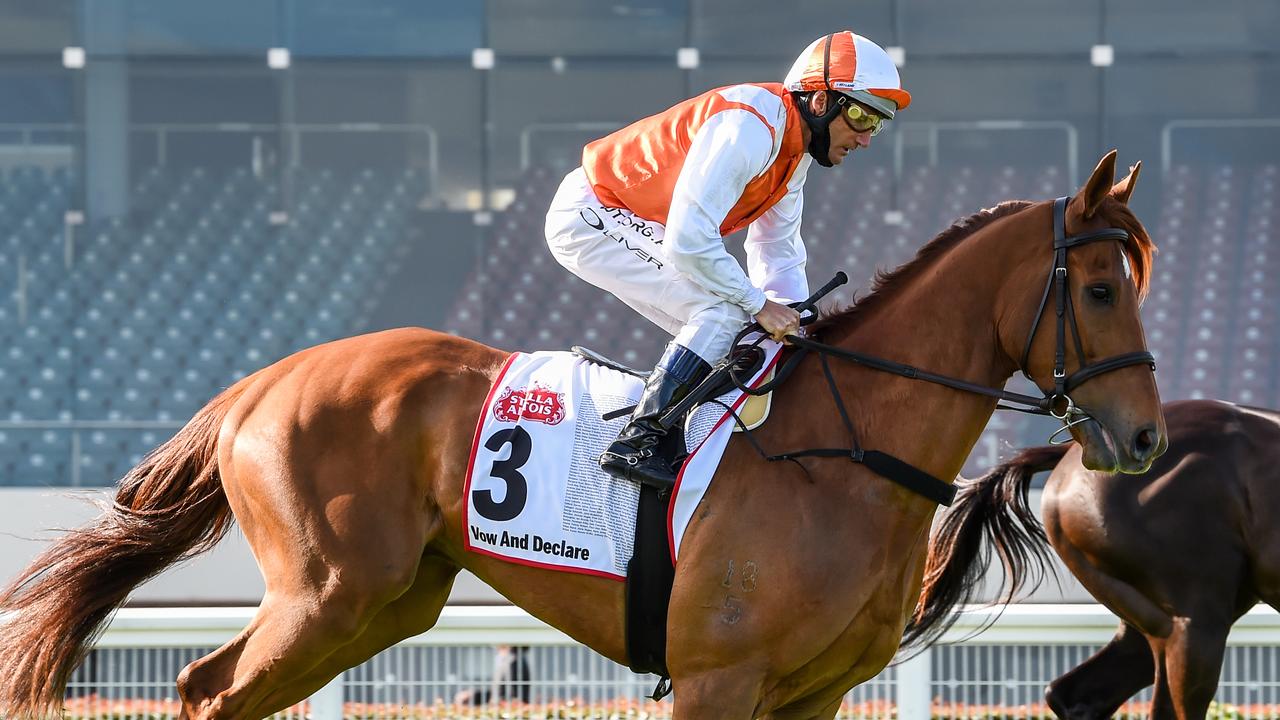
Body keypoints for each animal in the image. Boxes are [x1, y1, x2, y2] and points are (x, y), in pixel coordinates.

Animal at [0, 148, 1162, 712]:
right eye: (1102, 288)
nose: (1147, 439)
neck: (841, 456)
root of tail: (259, 381)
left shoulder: (813, 696)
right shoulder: (715, 681)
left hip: (386, 603)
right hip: (328, 595)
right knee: (209, 690)